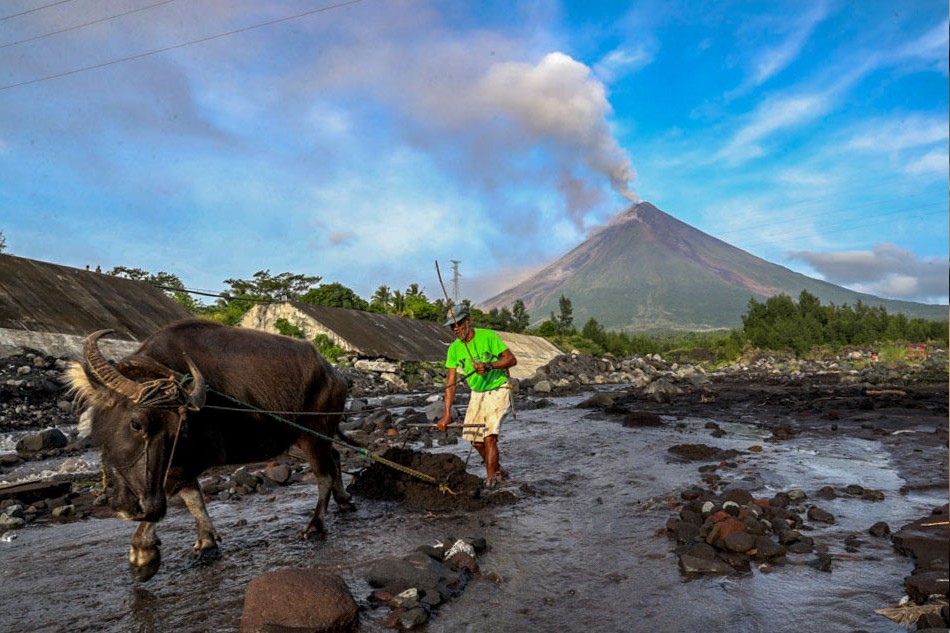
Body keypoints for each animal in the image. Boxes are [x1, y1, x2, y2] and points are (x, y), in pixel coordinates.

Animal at [66, 318, 356, 580]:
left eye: (178, 430)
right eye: (136, 424)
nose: (147, 507)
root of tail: (335, 375)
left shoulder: (196, 460)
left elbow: (176, 489)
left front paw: (143, 554)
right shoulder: (177, 462)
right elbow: (193, 496)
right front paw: (206, 542)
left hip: (313, 434)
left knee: (324, 475)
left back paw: (314, 525)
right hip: (320, 435)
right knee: (335, 457)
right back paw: (343, 500)